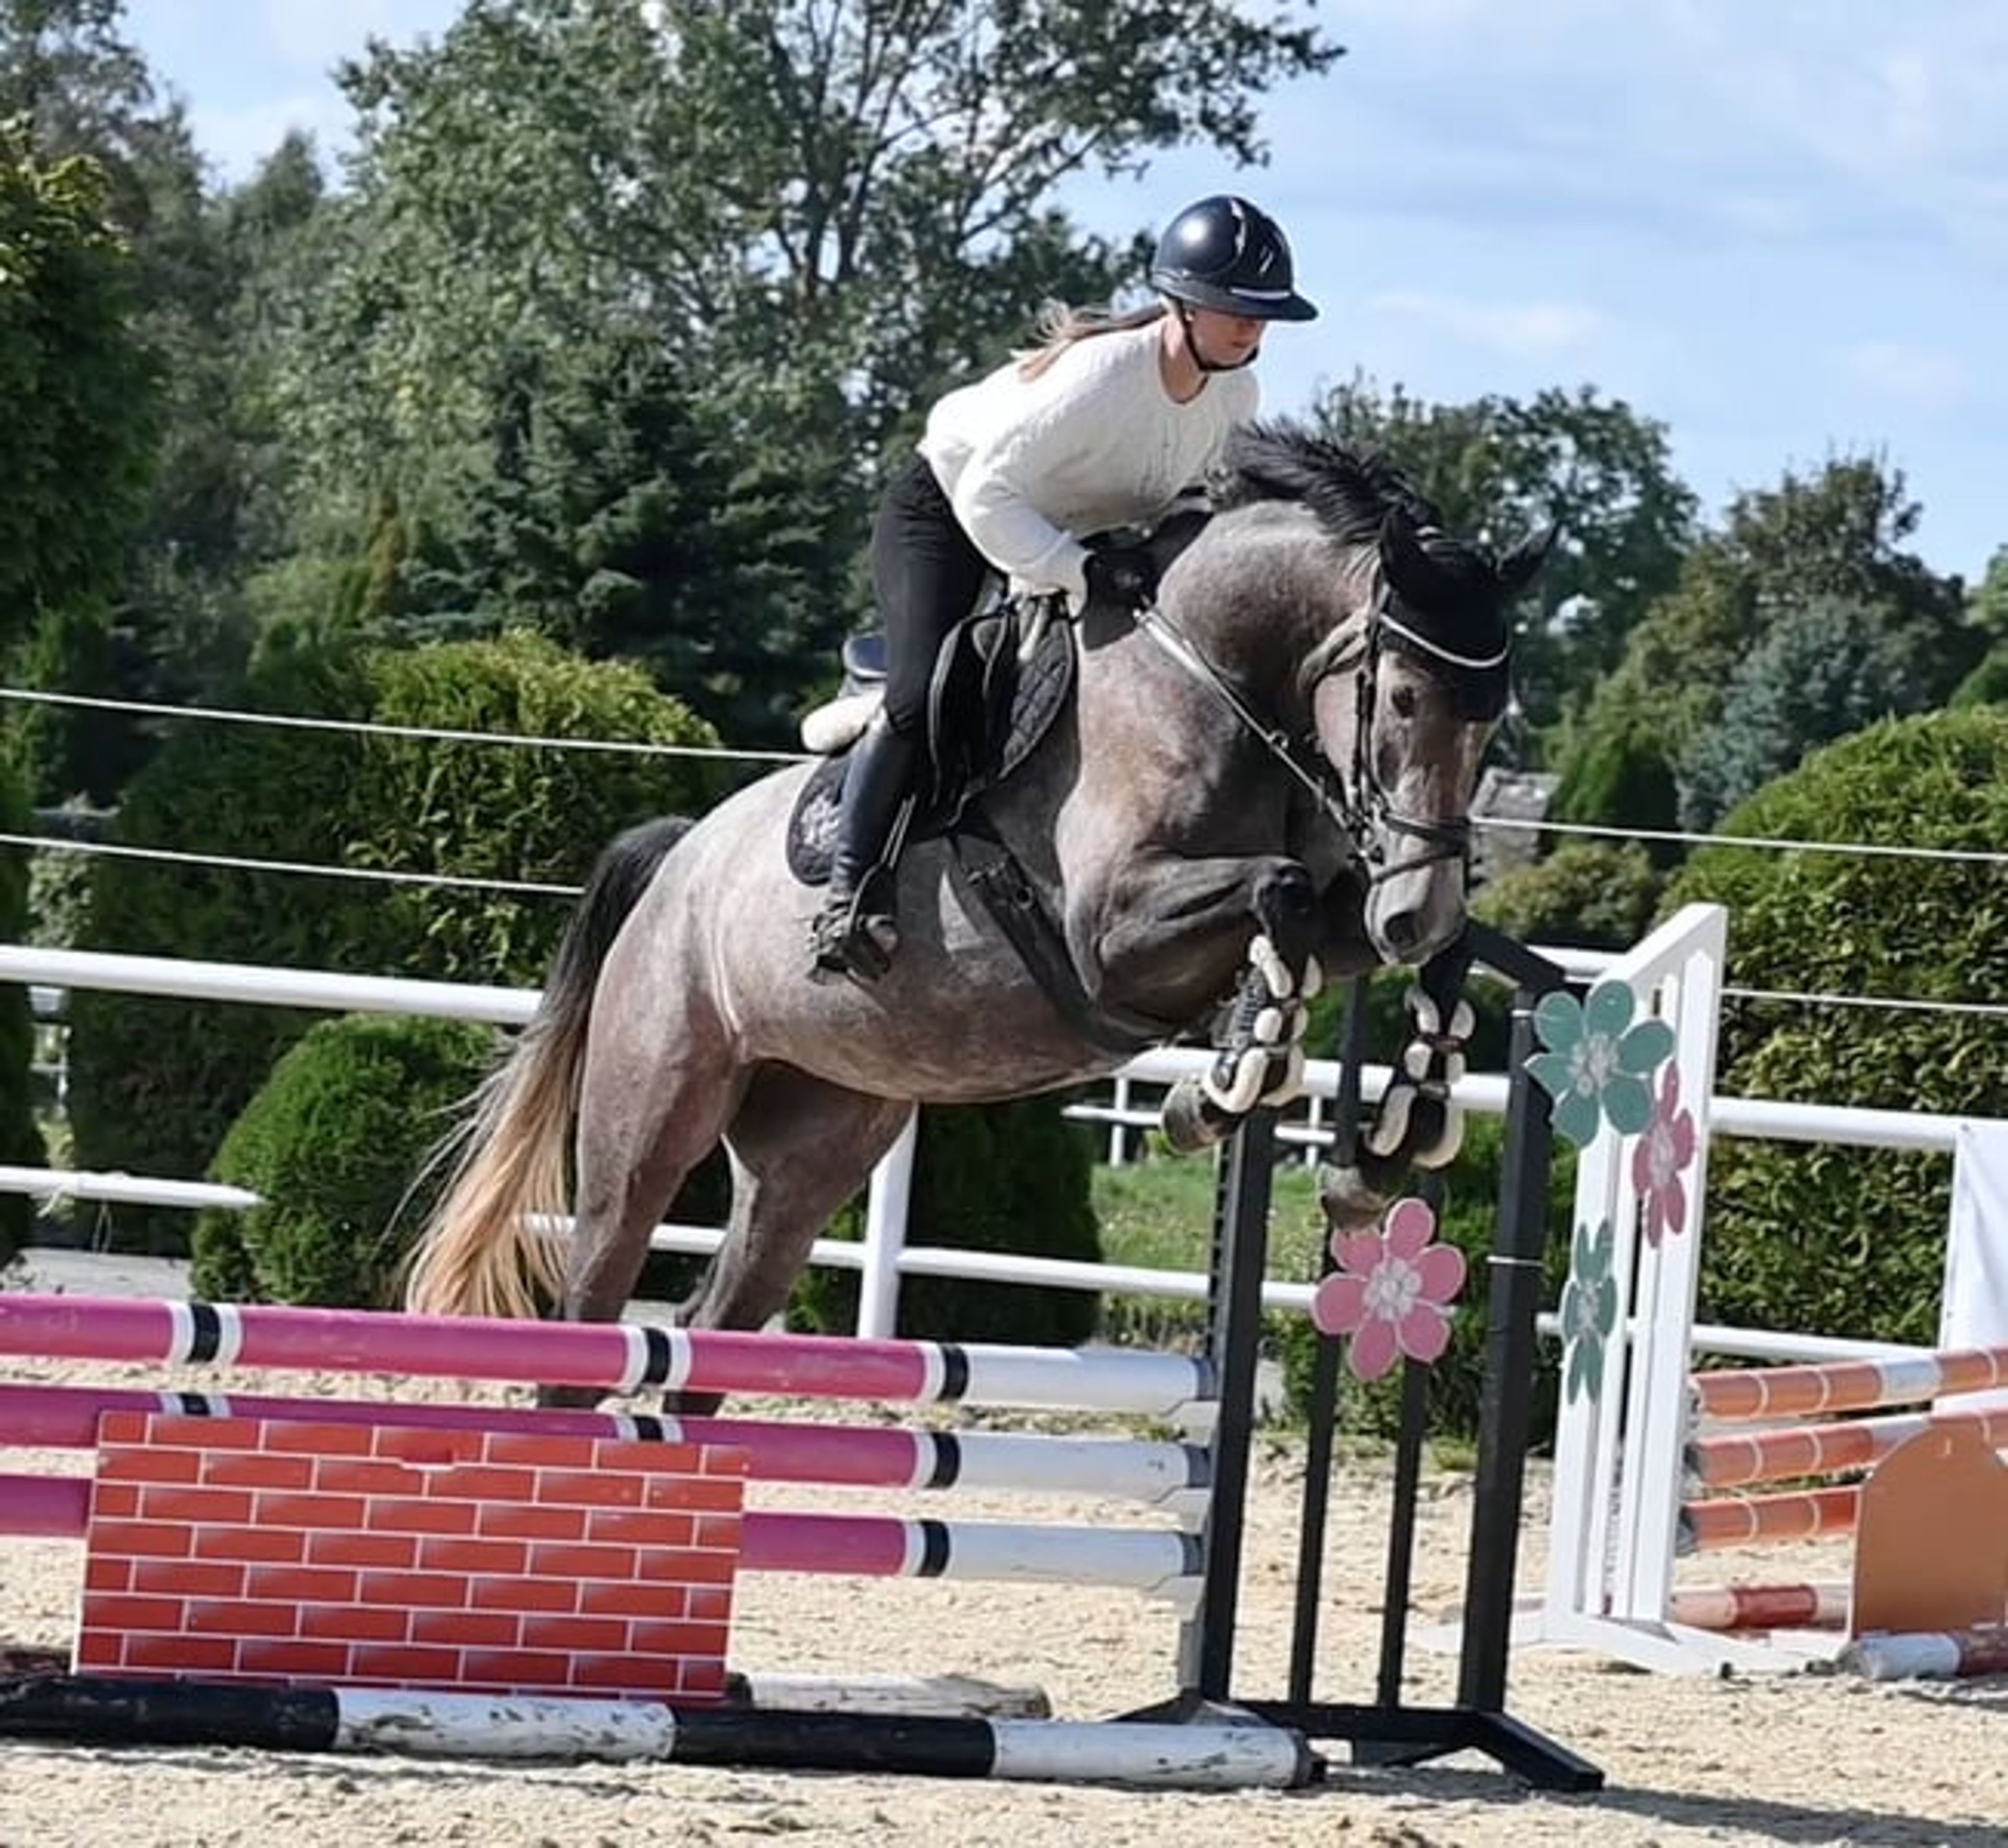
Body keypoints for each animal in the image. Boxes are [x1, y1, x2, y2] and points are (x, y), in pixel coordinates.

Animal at [404, 423, 1545, 1404]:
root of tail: (677, 860)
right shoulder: (1110, 938)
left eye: (1492, 719)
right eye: (1405, 697)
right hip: (649, 1118)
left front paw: (1394, 1134)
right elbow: (1283, 894)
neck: (1212, 682)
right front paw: (1230, 1078)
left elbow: (1413, 951)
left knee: (718, 1315)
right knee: (597, 1307)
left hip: (813, 1142)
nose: (1415, 903)